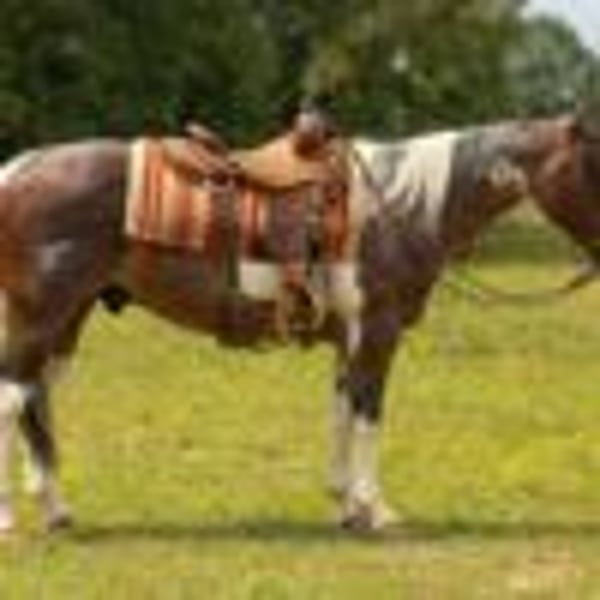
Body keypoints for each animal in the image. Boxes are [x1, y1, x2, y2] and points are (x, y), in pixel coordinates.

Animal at [0, 110, 599, 535]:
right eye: (592, 166)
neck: (401, 205)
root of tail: (16, 171)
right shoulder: (377, 331)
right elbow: (368, 414)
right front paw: (376, 509)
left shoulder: (348, 339)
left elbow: (341, 410)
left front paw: (345, 505)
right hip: (40, 318)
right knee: (13, 400)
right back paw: (14, 518)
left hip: (66, 321)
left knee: (35, 403)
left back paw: (57, 510)